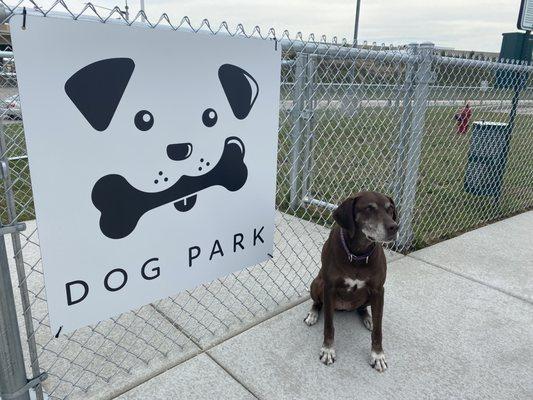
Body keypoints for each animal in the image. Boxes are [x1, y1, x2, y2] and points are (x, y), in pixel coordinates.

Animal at [306, 191, 396, 372]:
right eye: (369, 208)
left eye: (390, 209)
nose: (394, 227)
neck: (358, 253)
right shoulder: (329, 288)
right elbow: (329, 325)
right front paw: (328, 349)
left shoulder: (378, 290)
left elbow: (378, 329)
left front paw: (377, 355)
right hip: (317, 284)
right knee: (318, 302)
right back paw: (313, 313)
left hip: (369, 296)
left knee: (363, 308)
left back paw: (368, 317)